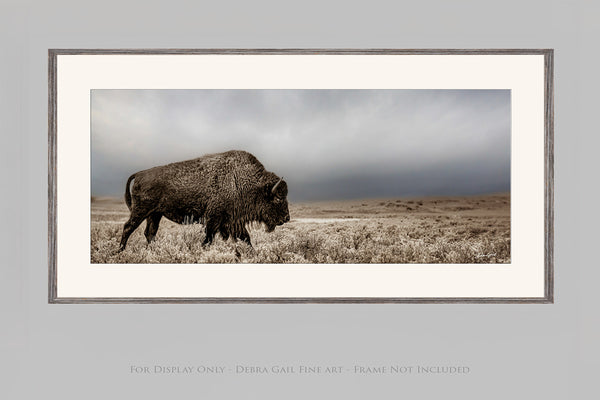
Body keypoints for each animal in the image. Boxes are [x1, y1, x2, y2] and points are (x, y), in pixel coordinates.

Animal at [118, 150, 290, 250]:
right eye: (278, 198)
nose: (287, 218)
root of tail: (139, 174)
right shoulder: (214, 219)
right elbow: (208, 239)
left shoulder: (234, 221)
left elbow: (246, 239)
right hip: (141, 211)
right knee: (128, 227)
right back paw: (120, 250)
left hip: (155, 214)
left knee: (150, 232)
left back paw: (153, 250)